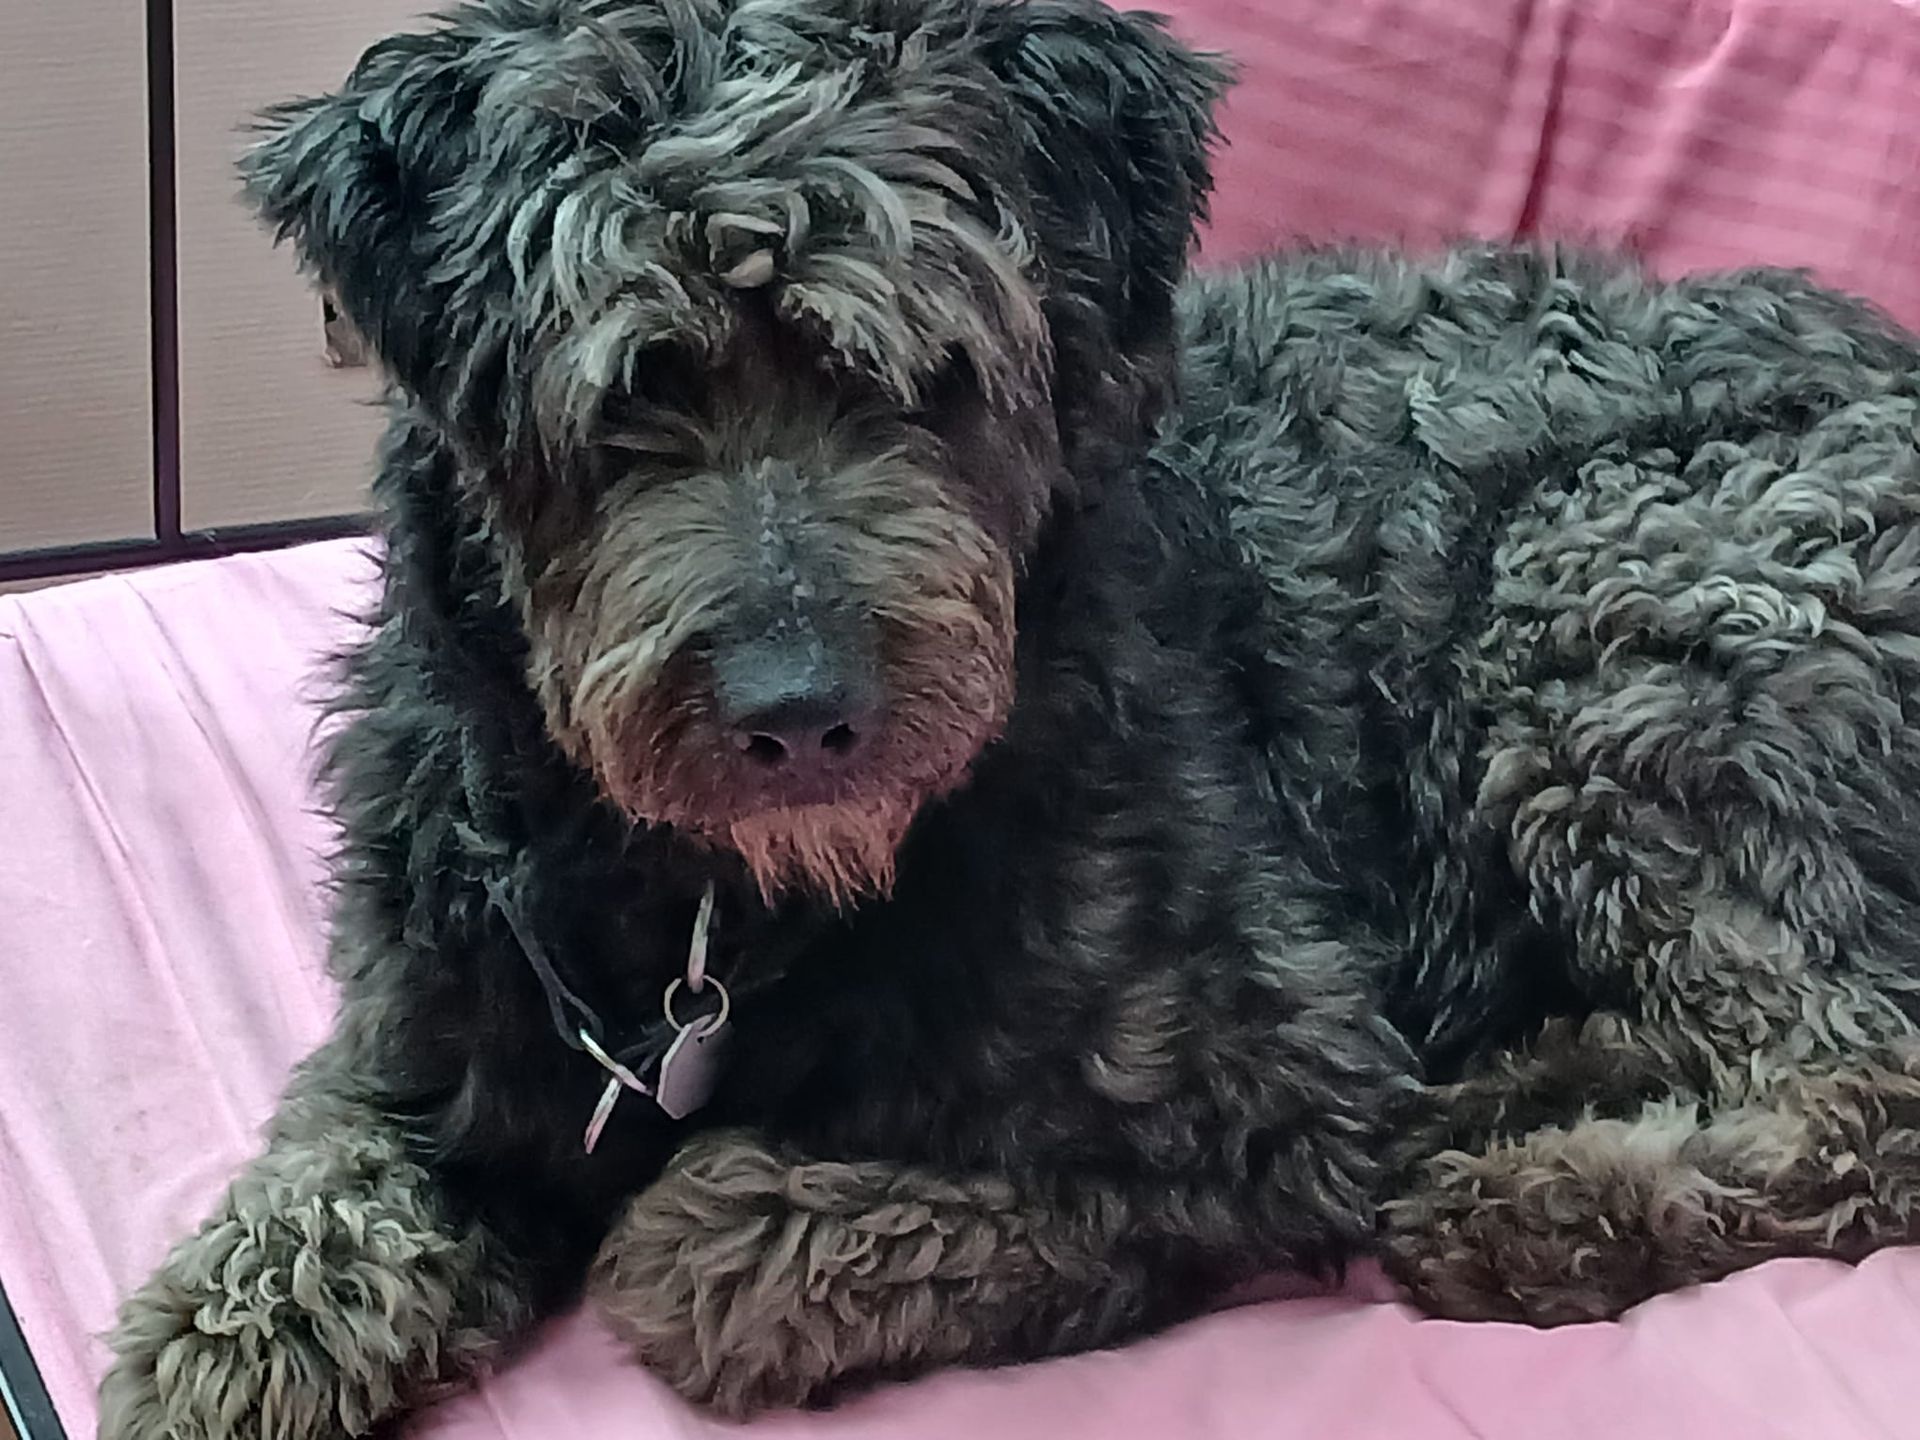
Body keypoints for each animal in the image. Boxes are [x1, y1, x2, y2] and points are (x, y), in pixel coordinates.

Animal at [98, 0, 1920, 1434]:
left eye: (927, 377)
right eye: (630, 393)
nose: (799, 715)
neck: (722, 908)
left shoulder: (1276, 1094)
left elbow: (753, 1253)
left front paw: (726, 1205)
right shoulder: (431, 1029)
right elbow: (299, 1204)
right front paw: (230, 1335)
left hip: (1615, 598)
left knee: (1867, 1077)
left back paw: (1541, 1192)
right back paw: (1528, 1082)